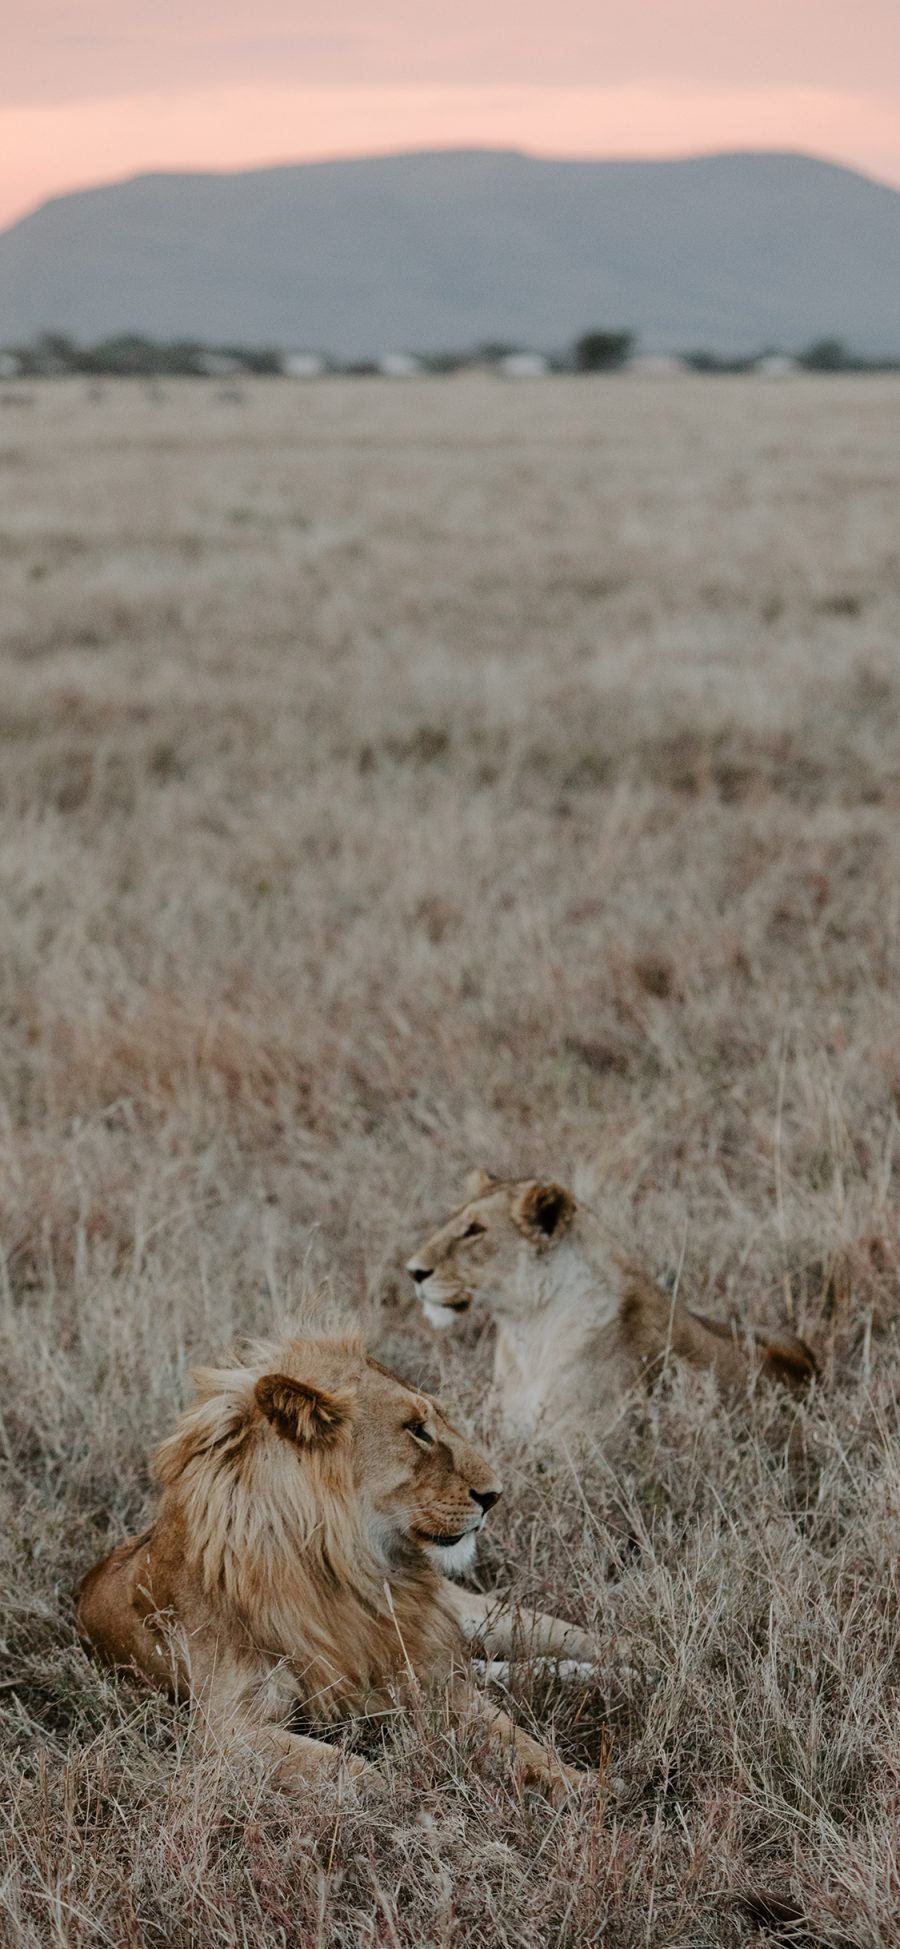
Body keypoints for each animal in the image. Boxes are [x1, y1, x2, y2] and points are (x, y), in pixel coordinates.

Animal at [77, 1325, 596, 1793]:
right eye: (417, 1431)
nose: (495, 1496)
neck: (341, 1571)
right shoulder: (226, 1729)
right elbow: (353, 1773)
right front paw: (411, 1797)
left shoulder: (436, 1678)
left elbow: (518, 1738)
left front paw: (580, 1787)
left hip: (479, 1617)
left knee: (571, 1639)